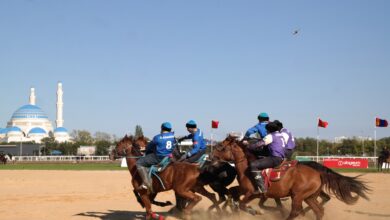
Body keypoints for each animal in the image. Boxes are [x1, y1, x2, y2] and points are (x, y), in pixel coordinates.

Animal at [212, 136, 370, 220]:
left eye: (221, 146)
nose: (212, 157)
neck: (247, 168)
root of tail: (317, 172)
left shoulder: (253, 193)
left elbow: (244, 204)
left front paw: (255, 211)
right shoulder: (244, 190)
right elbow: (233, 193)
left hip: (298, 196)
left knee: (296, 211)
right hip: (309, 197)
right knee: (319, 210)